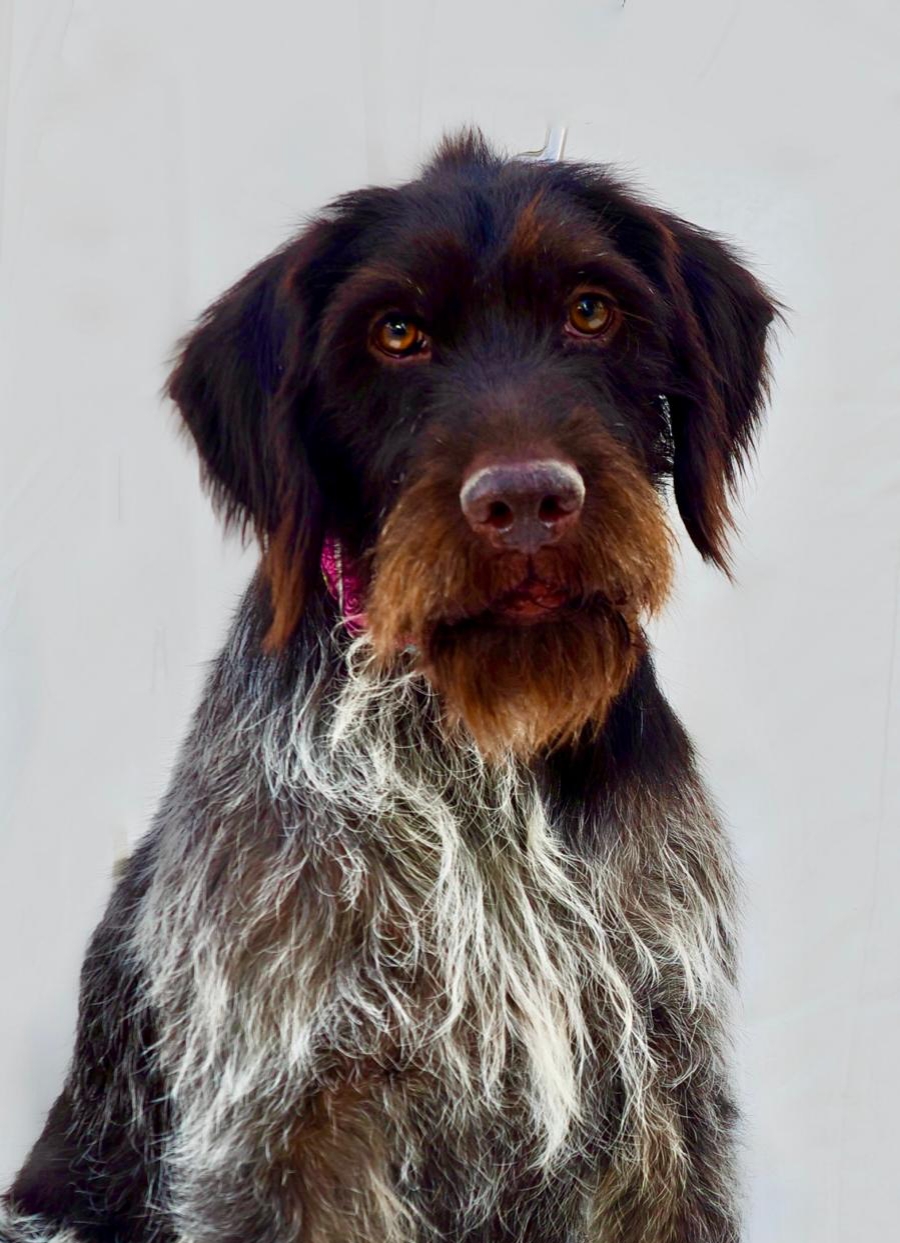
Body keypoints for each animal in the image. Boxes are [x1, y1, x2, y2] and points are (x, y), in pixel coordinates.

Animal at [2, 131, 777, 1243]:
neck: (481, 748)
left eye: (592, 309)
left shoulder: (658, 1104)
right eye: (397, 331)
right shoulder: (289, 1127)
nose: (527, 501)